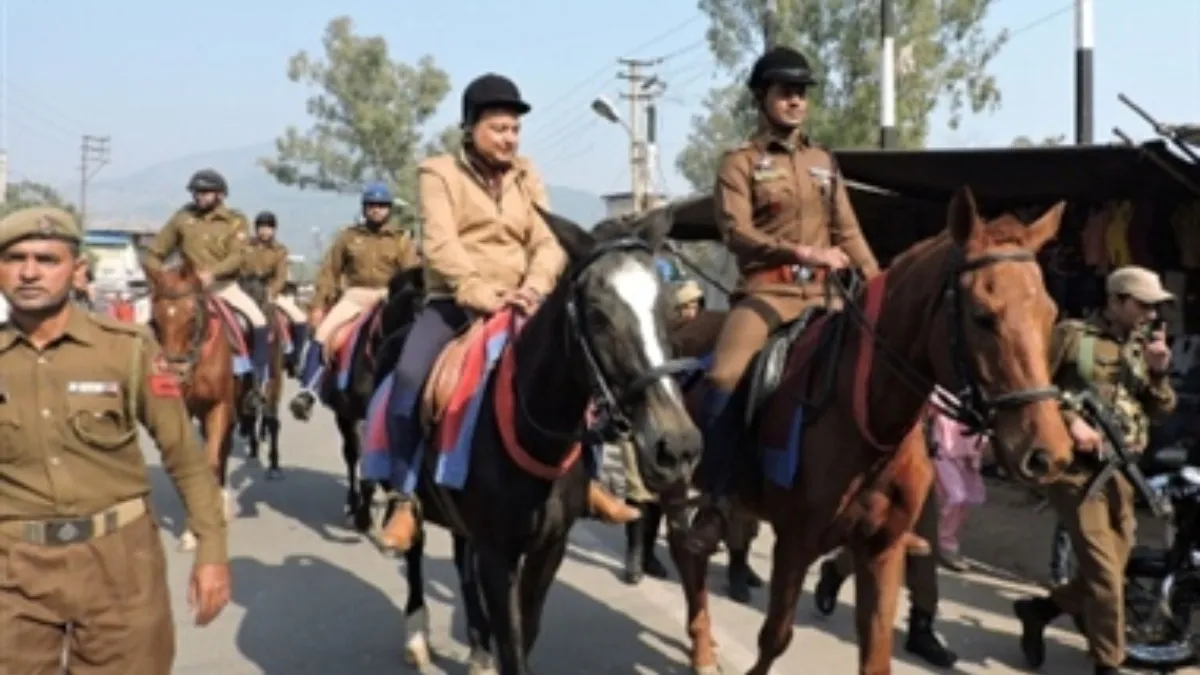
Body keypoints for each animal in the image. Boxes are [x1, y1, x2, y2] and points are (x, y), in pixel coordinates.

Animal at [142, 261, 248, 550]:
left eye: (192, 317)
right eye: (156, 320)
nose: (173, 373)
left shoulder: (220, 406)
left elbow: (210, 461)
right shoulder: (185, 411)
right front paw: (191, 531)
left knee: (223, 450)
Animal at [235, 274, 287, 479]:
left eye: (262, 300)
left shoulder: (274, 377)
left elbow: (272, 419)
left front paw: (274, 464)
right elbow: (249, 410)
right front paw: (253, 448)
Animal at [390, 206, 703, 675]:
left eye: (667, 310)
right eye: (597, 314)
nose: (678, 445)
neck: (533, 434)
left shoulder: (549, 547)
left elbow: (527, 630)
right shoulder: (498, 554)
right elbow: (513, 644)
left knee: (462, 563)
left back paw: (477, 647)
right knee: (413, 552)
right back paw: (415, 635)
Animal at [662, 186, 1076, 675]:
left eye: (1050, 313)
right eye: (982, 316)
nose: (1048, 452)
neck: (863, 421)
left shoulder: (883, 547)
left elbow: (876, 652)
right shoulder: (794, 542)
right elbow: (774, 638)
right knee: (686, 548)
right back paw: (702, 647)